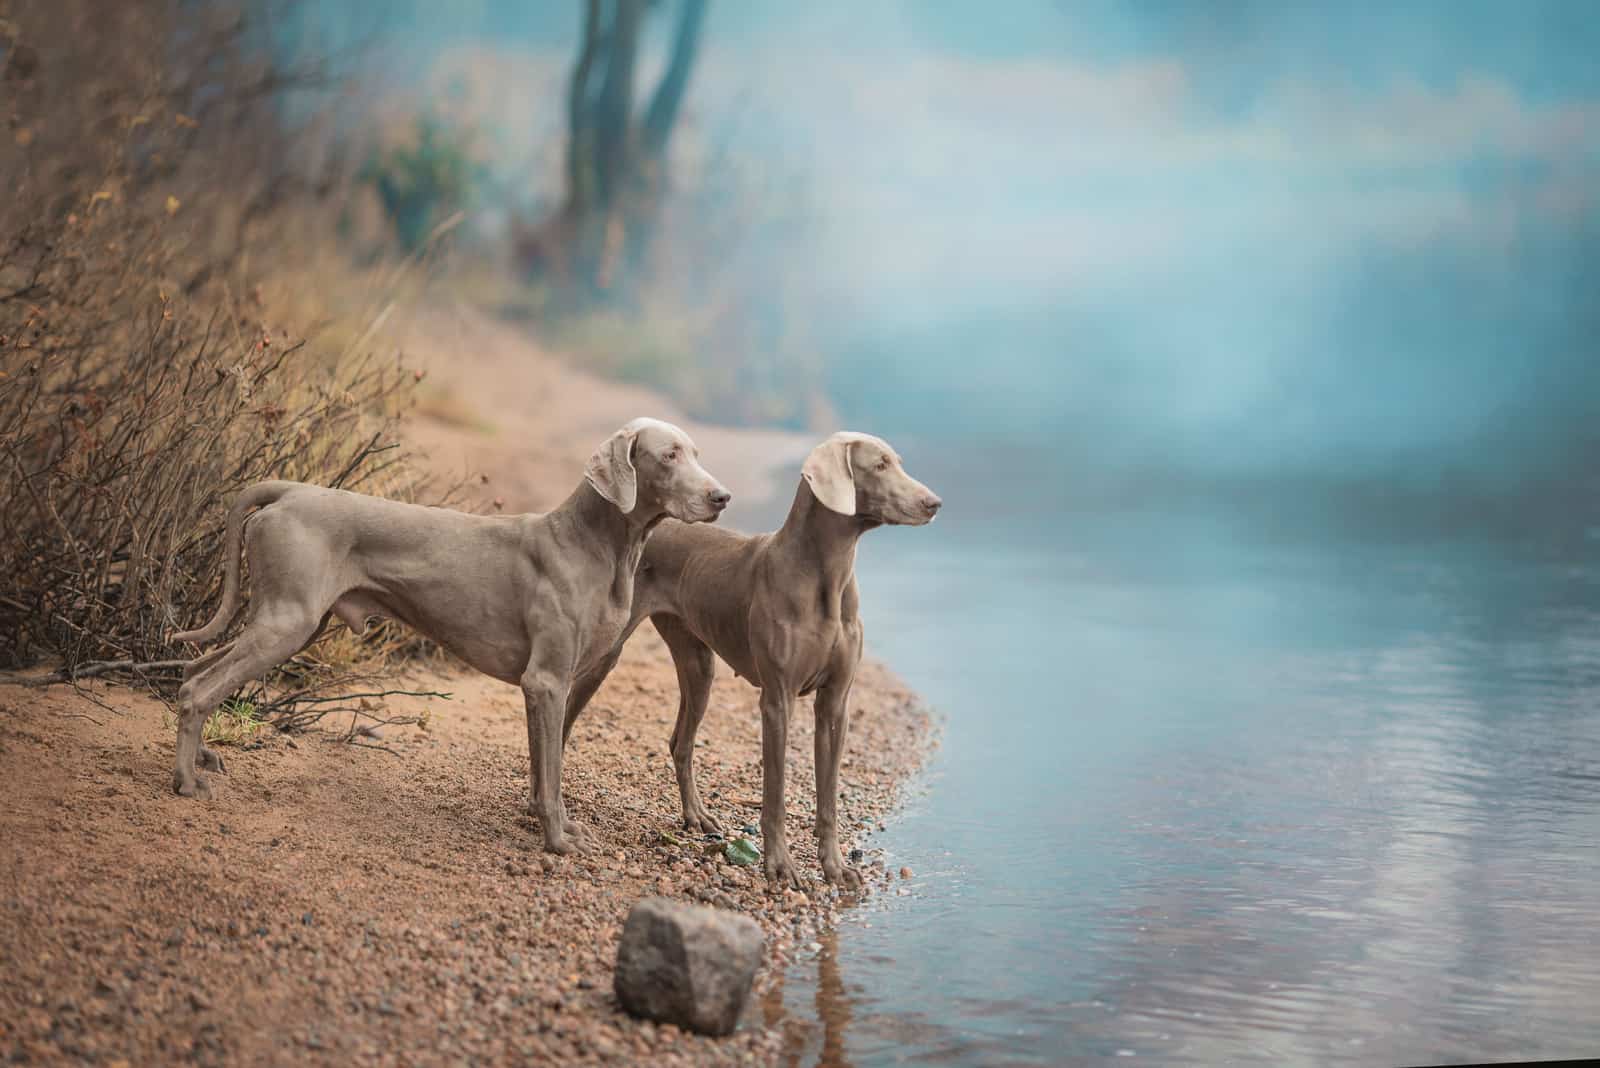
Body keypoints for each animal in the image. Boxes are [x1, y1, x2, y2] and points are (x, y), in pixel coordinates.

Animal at [170, 412, 732, 856]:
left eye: (697, 454)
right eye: (669, 455)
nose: (722, 496)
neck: (596, 544)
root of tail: (290, 489)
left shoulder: (551, 687)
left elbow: (543, 769)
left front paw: (557, 825)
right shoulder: (547, 681)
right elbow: (552, 776)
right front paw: (557, 841)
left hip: (295, 621)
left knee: (194, 670)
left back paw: (202, 757)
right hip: (289, 621)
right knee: (199, 688)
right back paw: (186, 781)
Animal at [563, 428, 934, 888]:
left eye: (897, 462)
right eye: (880, 465)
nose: (934, 503)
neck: (827, 577)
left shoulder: (836, 703)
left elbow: (828, 798)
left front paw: (834, 867)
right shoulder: (777, 700)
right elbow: (774, 795)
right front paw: (780, 866)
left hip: (699, 665)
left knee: (680, 742)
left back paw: (696, 816)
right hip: (605, 655)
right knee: (565, 718)